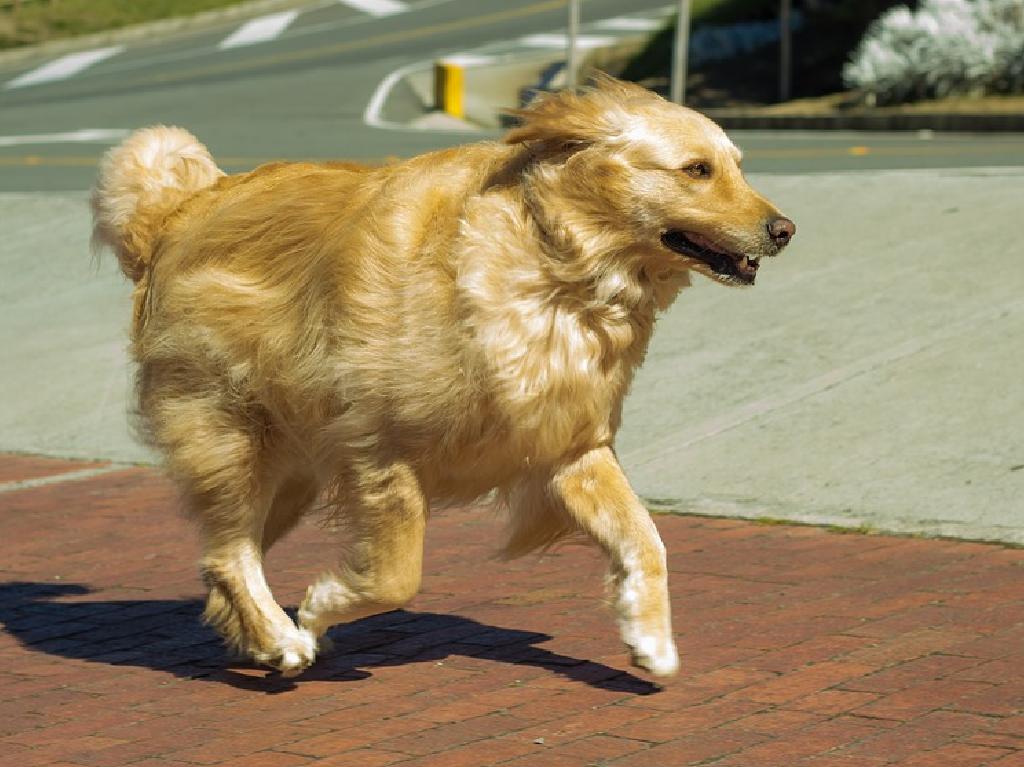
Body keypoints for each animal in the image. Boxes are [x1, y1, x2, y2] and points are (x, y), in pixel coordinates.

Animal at [92, 76, 794, 675]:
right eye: (697, 170)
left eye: (737, 165)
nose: (785, 229)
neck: (554, 265)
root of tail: (178, 211)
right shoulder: (379, 452)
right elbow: (397, 576)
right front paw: (322, 606)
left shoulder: (571, 446)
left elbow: (646, 540)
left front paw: (649, 637)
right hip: (235, 440)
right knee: (228, 554)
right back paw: (281, 639)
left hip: (287, 472)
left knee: (221, 563)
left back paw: (259, 639)